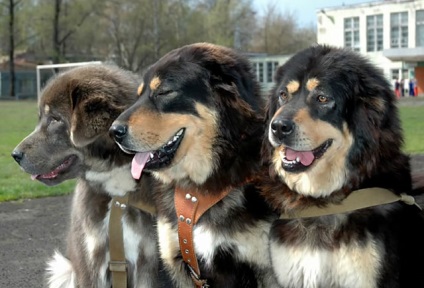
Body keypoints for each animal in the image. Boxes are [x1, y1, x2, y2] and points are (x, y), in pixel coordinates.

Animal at [11, 65, 167, 288]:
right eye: (40, 117)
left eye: (55, 119)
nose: (15, 155)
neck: (117, 194)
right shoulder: (90, 260)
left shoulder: (149, 263)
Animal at [109, 43, 278, 288]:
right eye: (138, 95)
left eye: (163, 92)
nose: (114, 131)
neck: (198, 191)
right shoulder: (178, 263)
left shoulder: (265, 268)